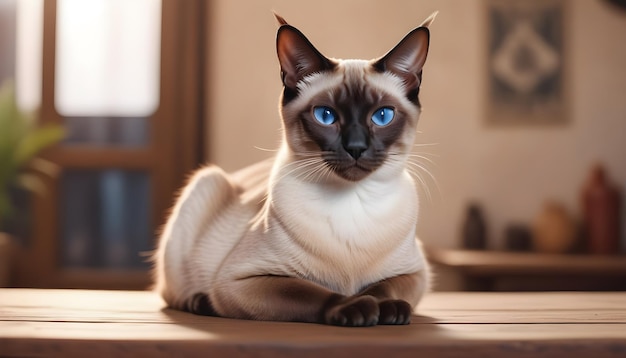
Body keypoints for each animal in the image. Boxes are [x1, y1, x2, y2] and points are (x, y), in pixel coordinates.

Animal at [152, 12, 434, 328]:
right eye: (325, 115)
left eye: (382, 116)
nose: (356, 147)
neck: (352, 202)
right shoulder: (244, 280)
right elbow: (311, 292)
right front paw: (356, 308)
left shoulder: (415, 274)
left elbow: (383, 287)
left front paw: (388, 310)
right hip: (205, 184)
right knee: (173, 293)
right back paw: (201, 302)